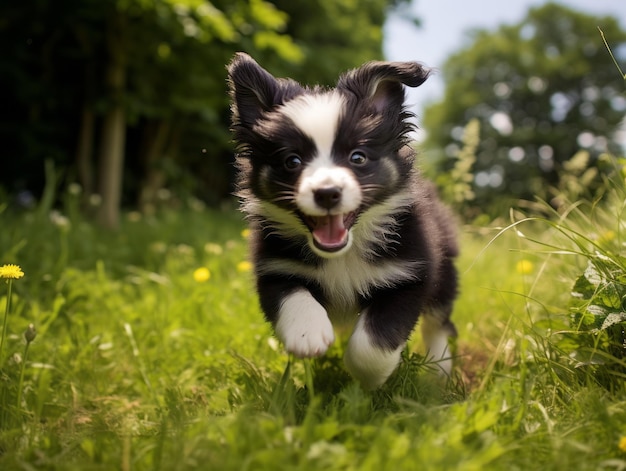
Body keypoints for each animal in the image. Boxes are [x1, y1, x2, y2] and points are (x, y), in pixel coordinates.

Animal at [227, 52, 456, 390]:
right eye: (292, 161)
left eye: (357, 157)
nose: (327, 193)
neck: (343, 254)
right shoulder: (273, 266)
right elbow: (290, 294)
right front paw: (307, 334)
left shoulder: (411, 271)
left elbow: (376, 339)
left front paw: (369, 378)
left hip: (446, 267)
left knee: (438, 320)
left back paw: (439, 369)